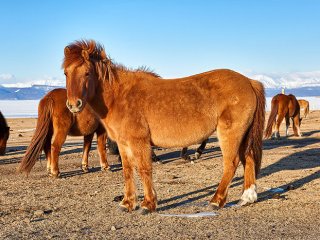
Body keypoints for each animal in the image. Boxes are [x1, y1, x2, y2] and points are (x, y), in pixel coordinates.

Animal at [62, 39, 264, 214]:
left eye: (87, 72)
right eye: (66, 73)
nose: (73, 105)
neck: (119, 96)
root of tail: (249, 82)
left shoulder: (139, 142)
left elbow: (144, 169)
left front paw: (147, 204)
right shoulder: (123, 144)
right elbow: (128, 171)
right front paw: (127, 203)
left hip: (230, 134)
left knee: (231, 163)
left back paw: (216, 200)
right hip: (243, 135)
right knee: (248, 158)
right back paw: (247, 197)